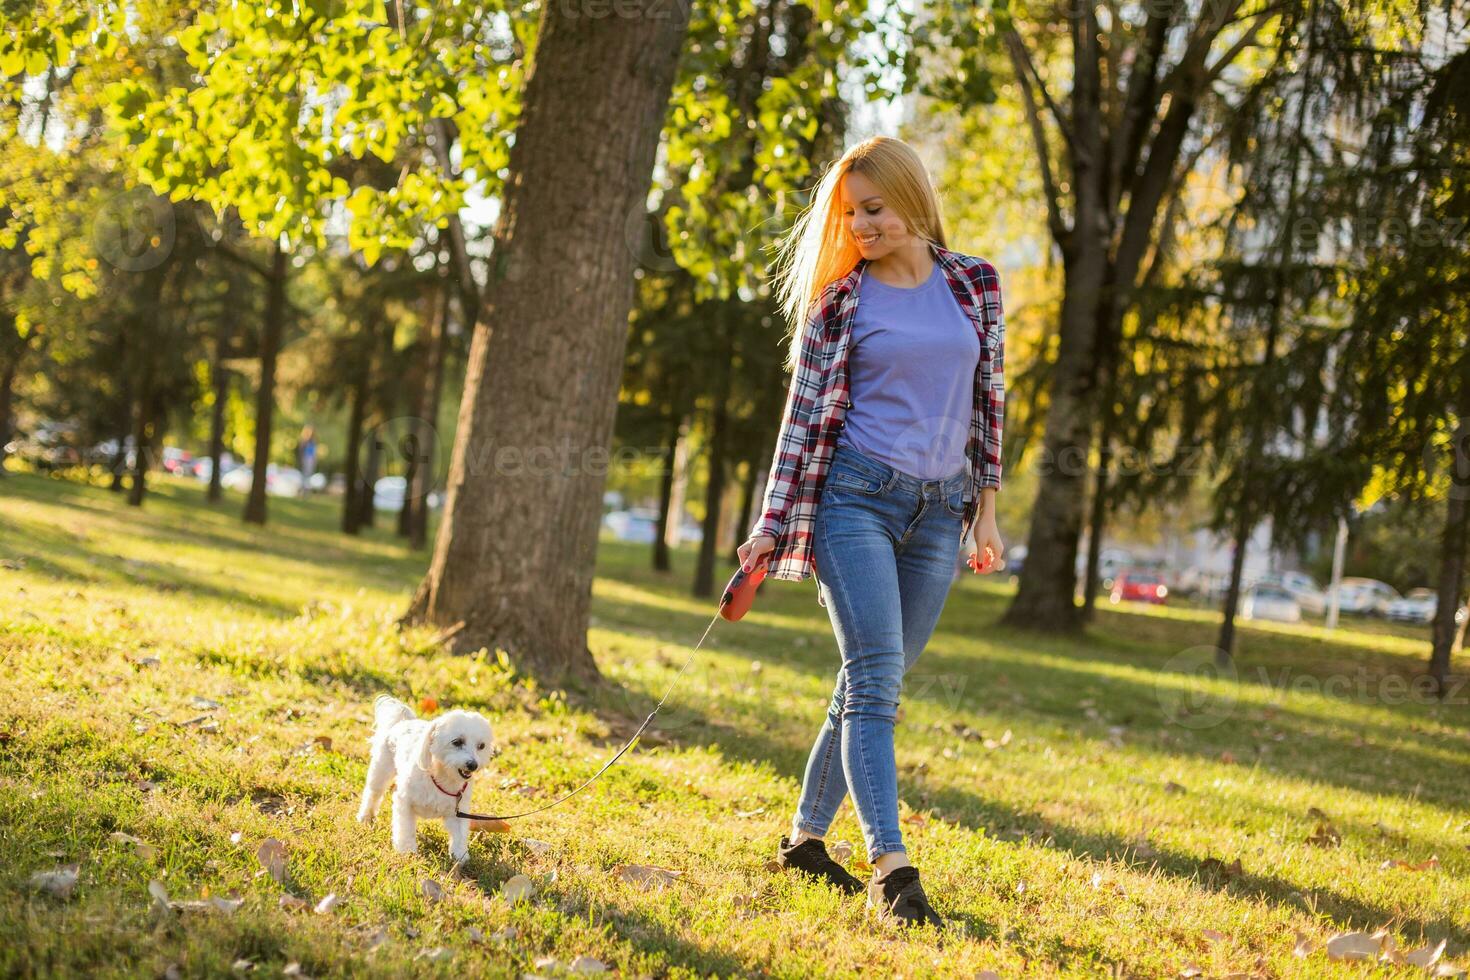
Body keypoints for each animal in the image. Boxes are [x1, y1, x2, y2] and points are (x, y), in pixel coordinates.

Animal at [357, 693, 496, 863]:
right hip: (381, 770)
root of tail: (404, 721)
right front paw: (407, 850)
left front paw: (460, 856)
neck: (443, 778)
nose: (473, 765)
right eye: (457, 742)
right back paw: (365, 817)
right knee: (373, 793)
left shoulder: (458, 811)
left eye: (481, 746)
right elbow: (405, 828)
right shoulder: (404, 802)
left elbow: (459, 835)